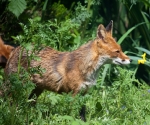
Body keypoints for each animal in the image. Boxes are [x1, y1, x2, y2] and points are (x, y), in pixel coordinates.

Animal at [3, 20, 131, 121]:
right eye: (117, 51)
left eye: (121, 50)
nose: (130, 60)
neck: (86, 68)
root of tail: (17, 48)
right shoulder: (73, 94)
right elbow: (71, 114)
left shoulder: (84, 93)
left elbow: (82, 114)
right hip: (15, 86)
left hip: (37, 89)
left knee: (29, 103)